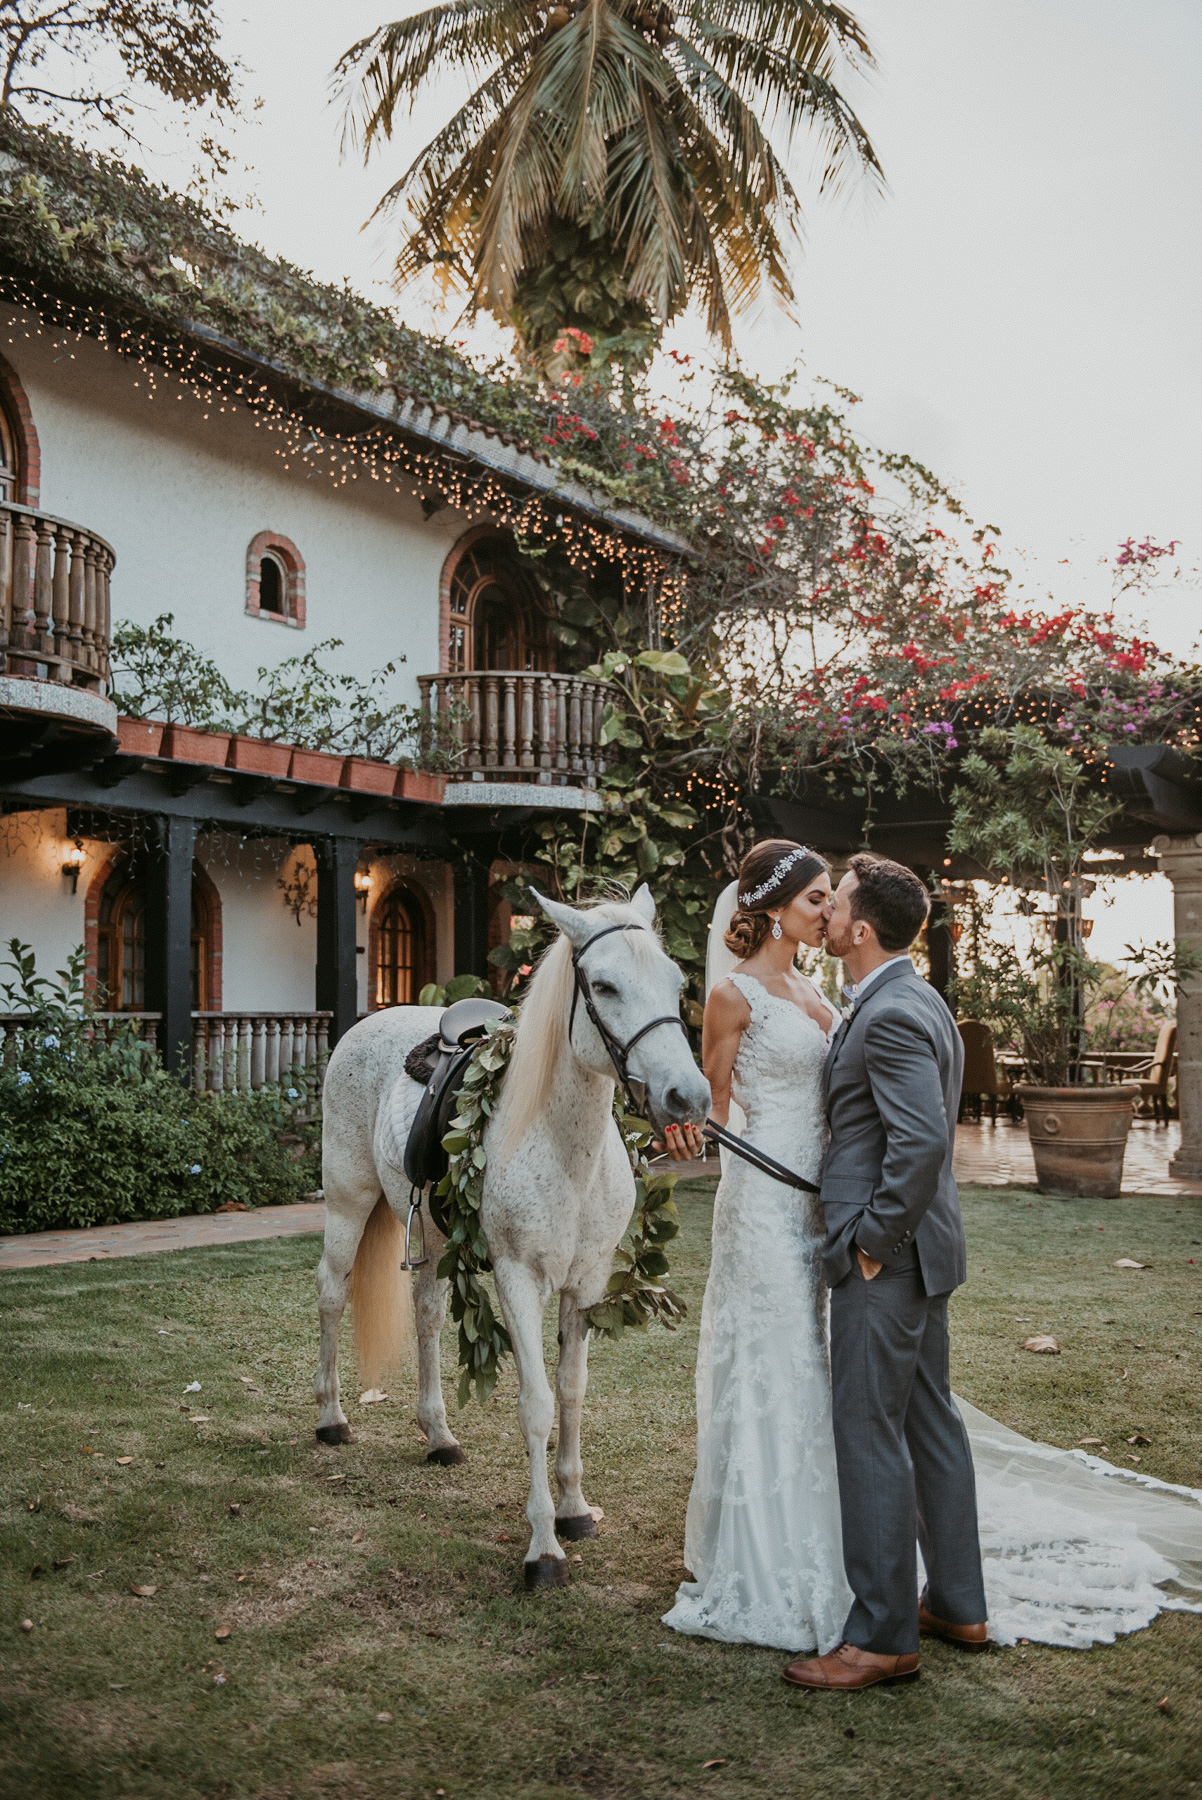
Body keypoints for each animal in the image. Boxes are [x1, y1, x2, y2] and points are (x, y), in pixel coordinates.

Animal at [313, 885, 712, 1591]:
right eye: (603, 985)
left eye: (676, 981)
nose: (686, 1096)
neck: (563, 1150)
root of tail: (368, 1023)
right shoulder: (518, 1281)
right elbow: (537, 1403)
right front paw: (543, 1546)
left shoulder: (585, 1285)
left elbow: (573, 1393)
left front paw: (575, 1510)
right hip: (348, 1204)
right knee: (332, 1294)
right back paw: (331, 1419)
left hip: (431, 1237)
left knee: (426, 1314)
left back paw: (438, 1435)